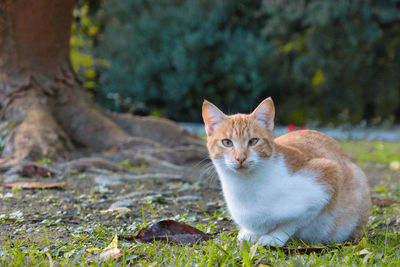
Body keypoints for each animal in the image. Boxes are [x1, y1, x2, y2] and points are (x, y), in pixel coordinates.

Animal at [203, 98, 372, 247]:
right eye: (227, 142)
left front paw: (273, 237)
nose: (240, 158)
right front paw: (250, 233)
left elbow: (291, 223)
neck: (245, 185)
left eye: (253, 141)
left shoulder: (327, 177)